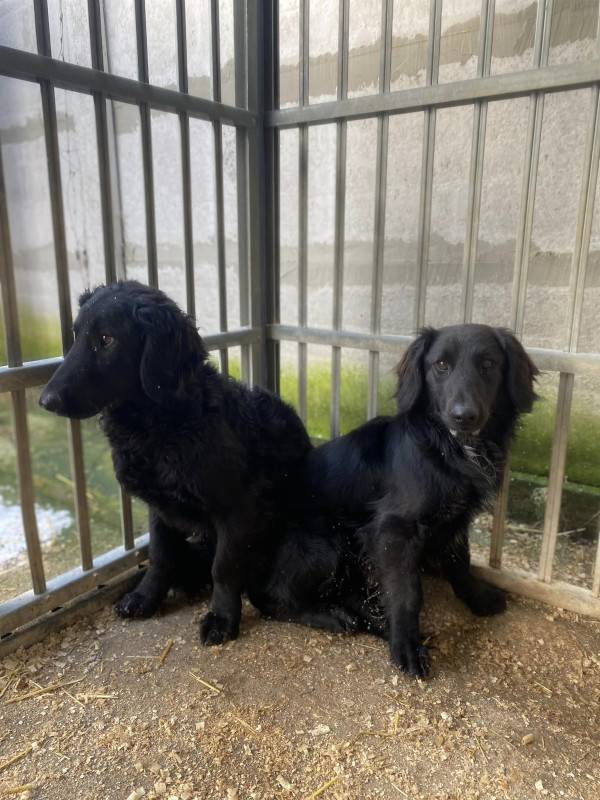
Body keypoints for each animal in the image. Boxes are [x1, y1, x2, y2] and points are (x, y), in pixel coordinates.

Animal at [39, 280, 312, 645]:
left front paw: (221, 618)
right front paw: (146, 597)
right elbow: (159, 557)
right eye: (76, 334)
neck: (162, 426)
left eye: (107, 339)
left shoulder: (237, 510)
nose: (45, 401)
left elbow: (224, 568)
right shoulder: (159, 509)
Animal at [250, 325, 538, 678]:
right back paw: (329, 616)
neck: (449, 448)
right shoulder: (395, 529)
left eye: (488, 364)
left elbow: (460, 562)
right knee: (270, 598)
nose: (464, 416)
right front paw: (406, 644)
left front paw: (476, 596)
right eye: (441, 365)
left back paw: (372, 621)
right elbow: (406, 591)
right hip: (327, 542)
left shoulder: (456, 520)